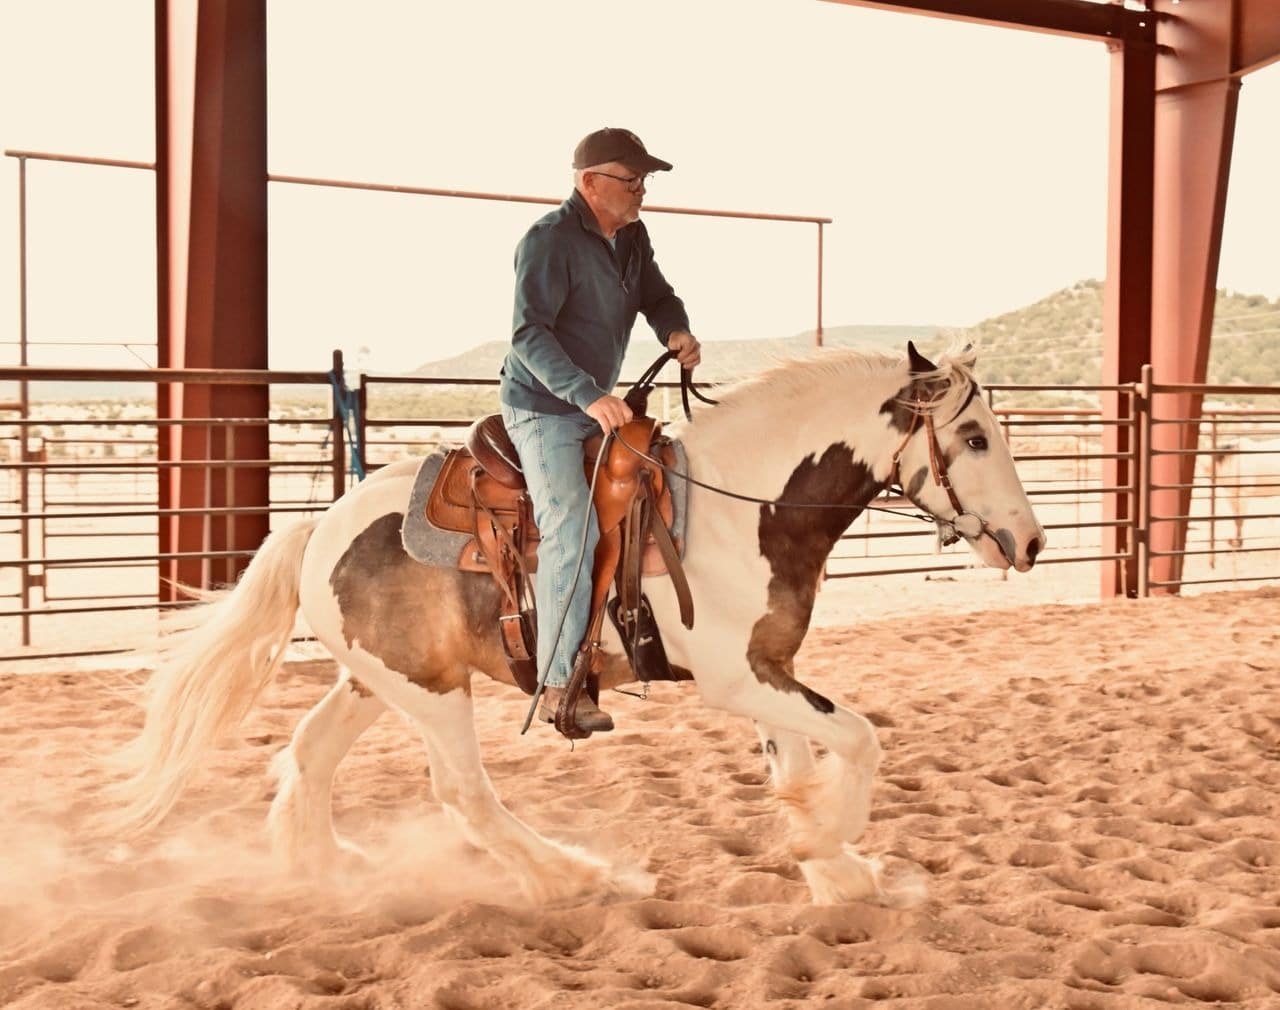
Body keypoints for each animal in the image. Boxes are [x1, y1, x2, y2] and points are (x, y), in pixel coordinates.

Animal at [110, 345, 1044, 906]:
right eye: (972, 435)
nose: (1031, 541)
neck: (748, 508)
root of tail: (319, 527)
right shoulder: (736, 678)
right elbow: (859, 739)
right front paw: (834, 846)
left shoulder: (769, 670)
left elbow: (804, 757)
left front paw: (833, 867)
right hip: (430, 695)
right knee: (463, 793)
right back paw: (574, 874)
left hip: (383, 681)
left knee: (308, 753)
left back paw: (327, 869)